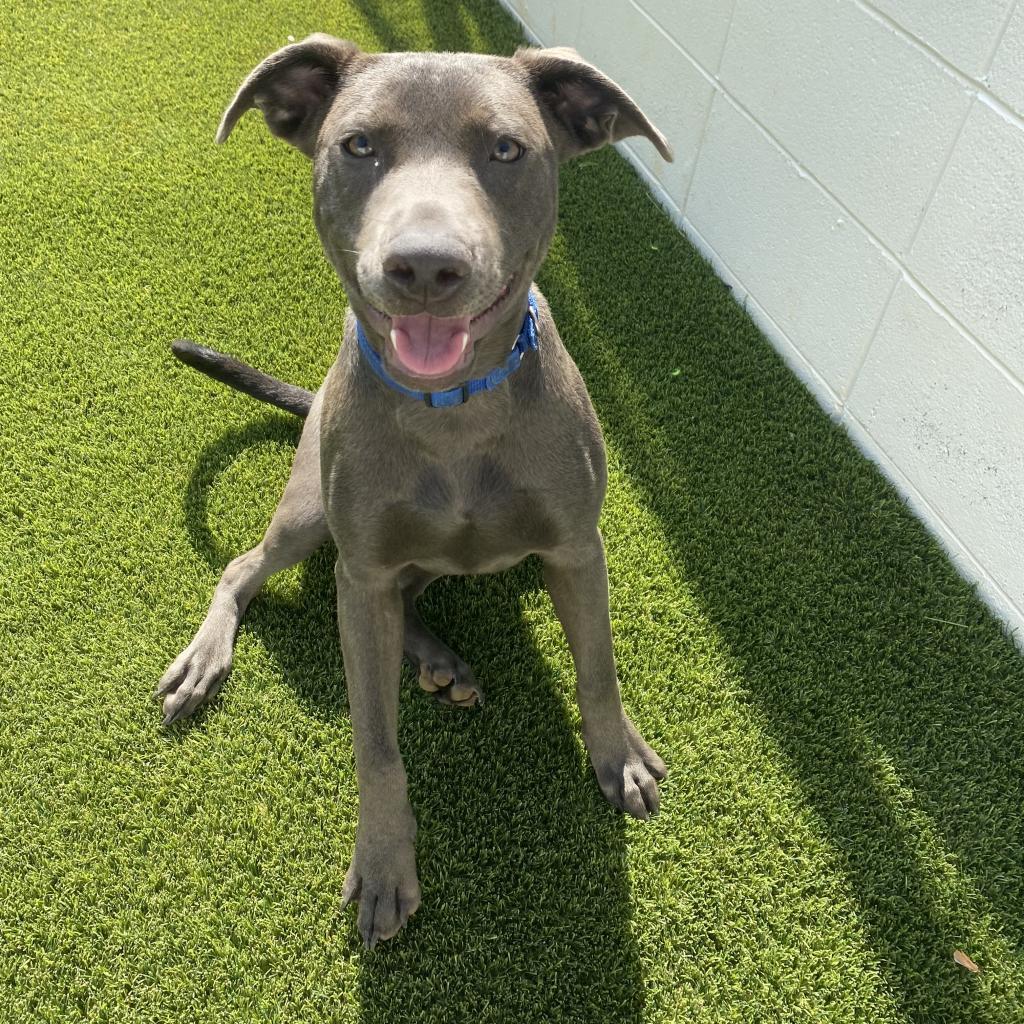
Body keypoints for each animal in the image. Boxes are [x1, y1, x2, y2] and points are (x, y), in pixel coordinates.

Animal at [157, 36, 671, 946]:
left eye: (507, 148)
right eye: (358, 144)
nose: (426, 266)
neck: (455, 411)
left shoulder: (577, 548)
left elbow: (599, 668)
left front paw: (619, 756)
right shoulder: (361, 573)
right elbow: (376, 744)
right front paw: (385, 862)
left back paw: (437, 658)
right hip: (312, 516)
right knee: (248, 568)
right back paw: (212, 659)